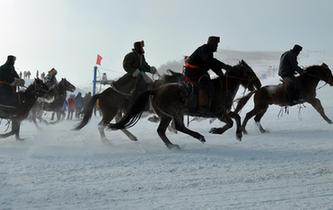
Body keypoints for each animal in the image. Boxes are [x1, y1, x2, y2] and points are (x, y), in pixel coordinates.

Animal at [107, 60, 260, 149]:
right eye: (249, 71)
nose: (258, 84)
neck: (222, 87)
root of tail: (156, 90)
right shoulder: (219, 113)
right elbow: (230, 122)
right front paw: (217, 130)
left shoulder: (224, 112)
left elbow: (236, 117)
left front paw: (239, 135)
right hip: (175, 113)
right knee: (178, 127)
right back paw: (198, 137)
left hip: (167, 115)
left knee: (162, 130)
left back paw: (172, 145)